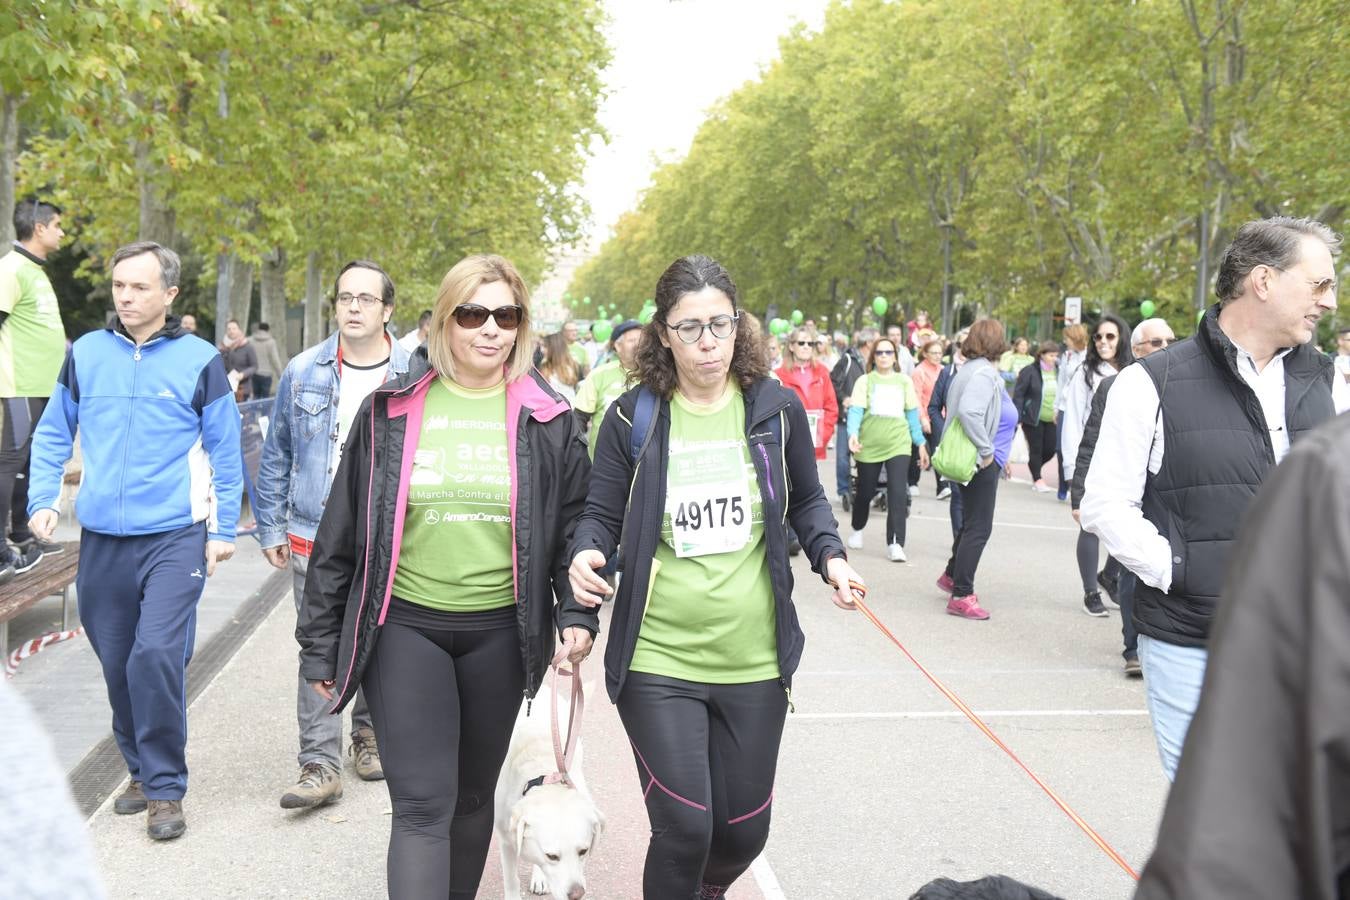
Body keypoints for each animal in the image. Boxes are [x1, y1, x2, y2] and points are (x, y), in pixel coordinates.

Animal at [494, 685, 604, 895]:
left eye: (583, 851)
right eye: (552, 856)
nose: (577, 894)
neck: (543, 776)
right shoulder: (506, 839)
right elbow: (511, 880)